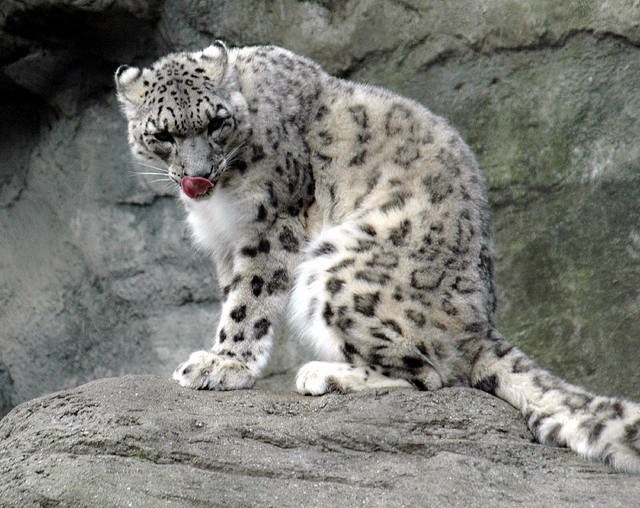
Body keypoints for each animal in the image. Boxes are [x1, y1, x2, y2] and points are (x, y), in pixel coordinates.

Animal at [115, 42, 640, 472]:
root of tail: (481, 324)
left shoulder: (272, 223)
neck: (223, 202)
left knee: (431, 374)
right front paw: (224, 355)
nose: (198, 174)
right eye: (163, 134)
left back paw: (323, 374)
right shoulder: (227, 241)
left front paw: (224, 363)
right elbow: (234, 293)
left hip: (340, 267)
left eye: (216, 123)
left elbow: (251, 299)